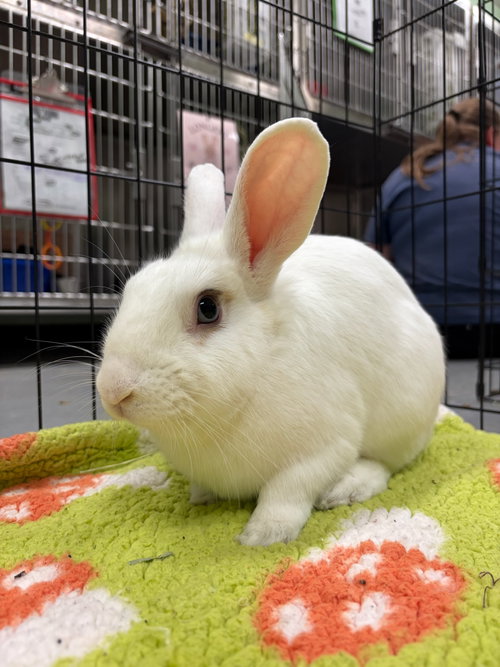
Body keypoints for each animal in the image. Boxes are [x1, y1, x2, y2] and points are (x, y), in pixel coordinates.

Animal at [96, 118, 445, 547]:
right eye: (132, 290)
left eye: (207, 308)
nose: (113, 391)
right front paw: (202, 498)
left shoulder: (324, 446)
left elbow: (287, 490)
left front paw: (263, 535)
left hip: (403, 416)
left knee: (386, 464)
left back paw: (347, 488)